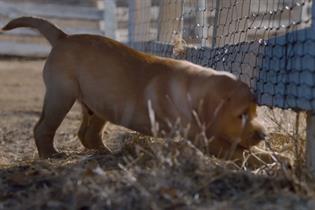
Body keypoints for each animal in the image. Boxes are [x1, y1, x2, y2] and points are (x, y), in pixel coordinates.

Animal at [2, 16, 268, 164]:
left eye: (256, 112)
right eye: (241, 115)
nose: (263, 135)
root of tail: (63, 37)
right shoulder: (204, 138)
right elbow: (239, 153)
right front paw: (264, 160)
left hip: (100, 104)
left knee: (87, 134)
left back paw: (106, 152)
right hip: (61, 96)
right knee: (43, 128)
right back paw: (51, 155)